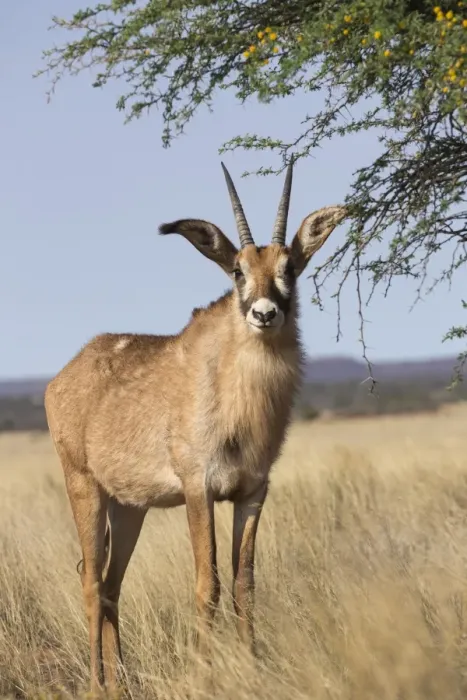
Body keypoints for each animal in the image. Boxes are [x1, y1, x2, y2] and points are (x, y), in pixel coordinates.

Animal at [44, 160, 347, 694]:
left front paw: (253, 668)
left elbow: (245, 583)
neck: (232, 384)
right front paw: (206, 676)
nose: (265, 313)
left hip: (129, 507)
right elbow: (208, 584)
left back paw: (122, 684)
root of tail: (65, 374)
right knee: (90, 580)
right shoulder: (197, 489)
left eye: (289, 268)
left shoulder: (252, 492)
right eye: (237, 270)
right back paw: (98, 684)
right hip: (84, 487)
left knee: (111, 583)